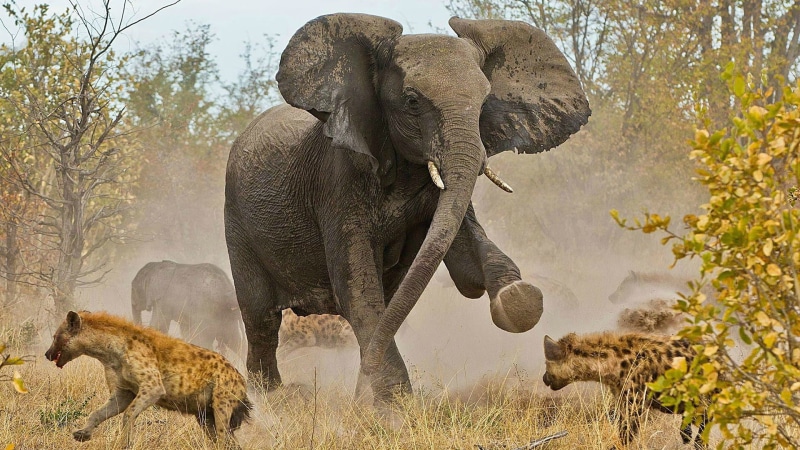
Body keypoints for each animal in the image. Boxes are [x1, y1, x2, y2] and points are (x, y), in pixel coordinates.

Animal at [224, 14, 590, 402]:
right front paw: (394, 406)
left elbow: (464, 262)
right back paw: (269, 397)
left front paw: (517, 297)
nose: (358, 394)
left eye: (484, 103)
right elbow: (356, 286)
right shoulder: (338, 178)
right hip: (237, 222)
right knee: (261, 318)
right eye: (412, 101)